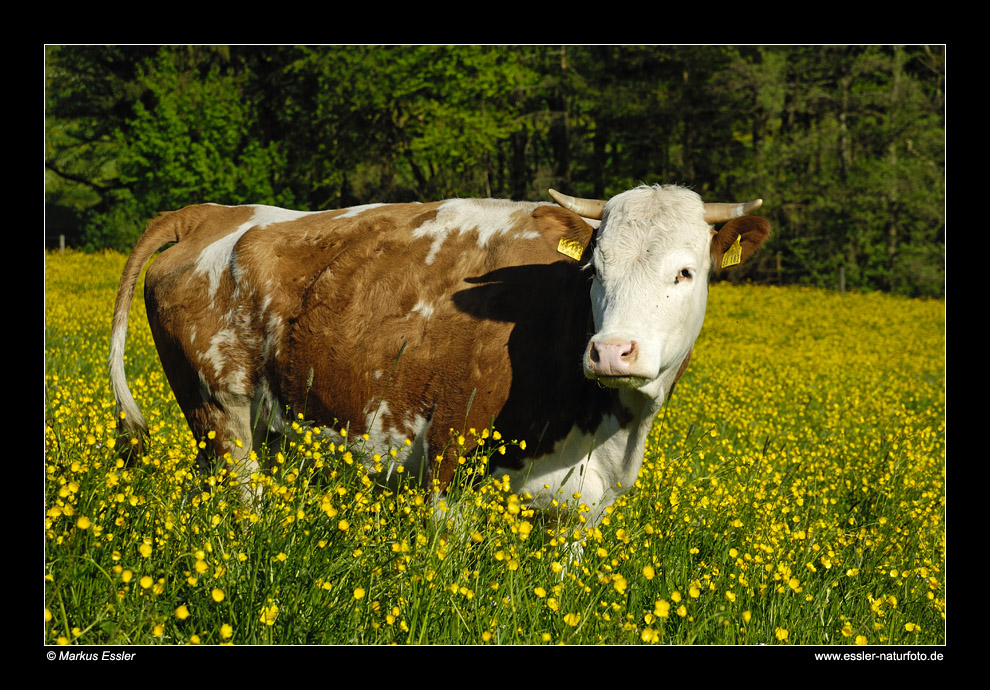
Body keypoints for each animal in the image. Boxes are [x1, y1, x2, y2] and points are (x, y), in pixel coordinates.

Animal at [112, 185, 772, 524]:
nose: (611, 353)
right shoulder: (448, 464)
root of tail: (210, 213)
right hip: (221, 415)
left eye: (686, 272)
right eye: (593, 270)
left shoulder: (586, 507)